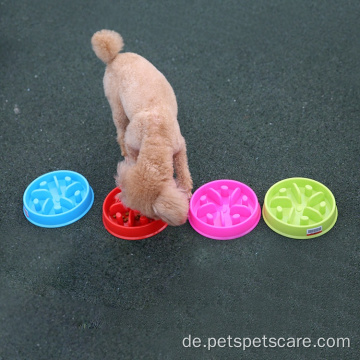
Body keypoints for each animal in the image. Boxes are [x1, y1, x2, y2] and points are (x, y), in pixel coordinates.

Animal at [91, 29, 193, 225]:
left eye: (153, 215)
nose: (143, 218)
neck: (155, 137)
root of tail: (114, 57)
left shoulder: (179, 147)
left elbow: (183, 170)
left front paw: (187, 190)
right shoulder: (133, 142)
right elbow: (131, 154)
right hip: (117, 106)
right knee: (120, 133)